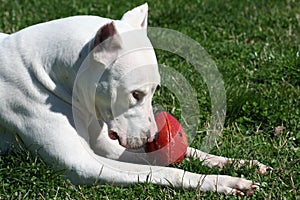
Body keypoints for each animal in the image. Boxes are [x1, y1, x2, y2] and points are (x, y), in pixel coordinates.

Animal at [0, 3, 270, 196]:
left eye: (155, 90)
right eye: (135, 95)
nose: (152, 137)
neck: (48, 72)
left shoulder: (106, 143)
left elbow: (183, 153)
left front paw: (235, 163)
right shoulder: (81, 164)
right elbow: (164, 170)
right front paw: (221, 182)